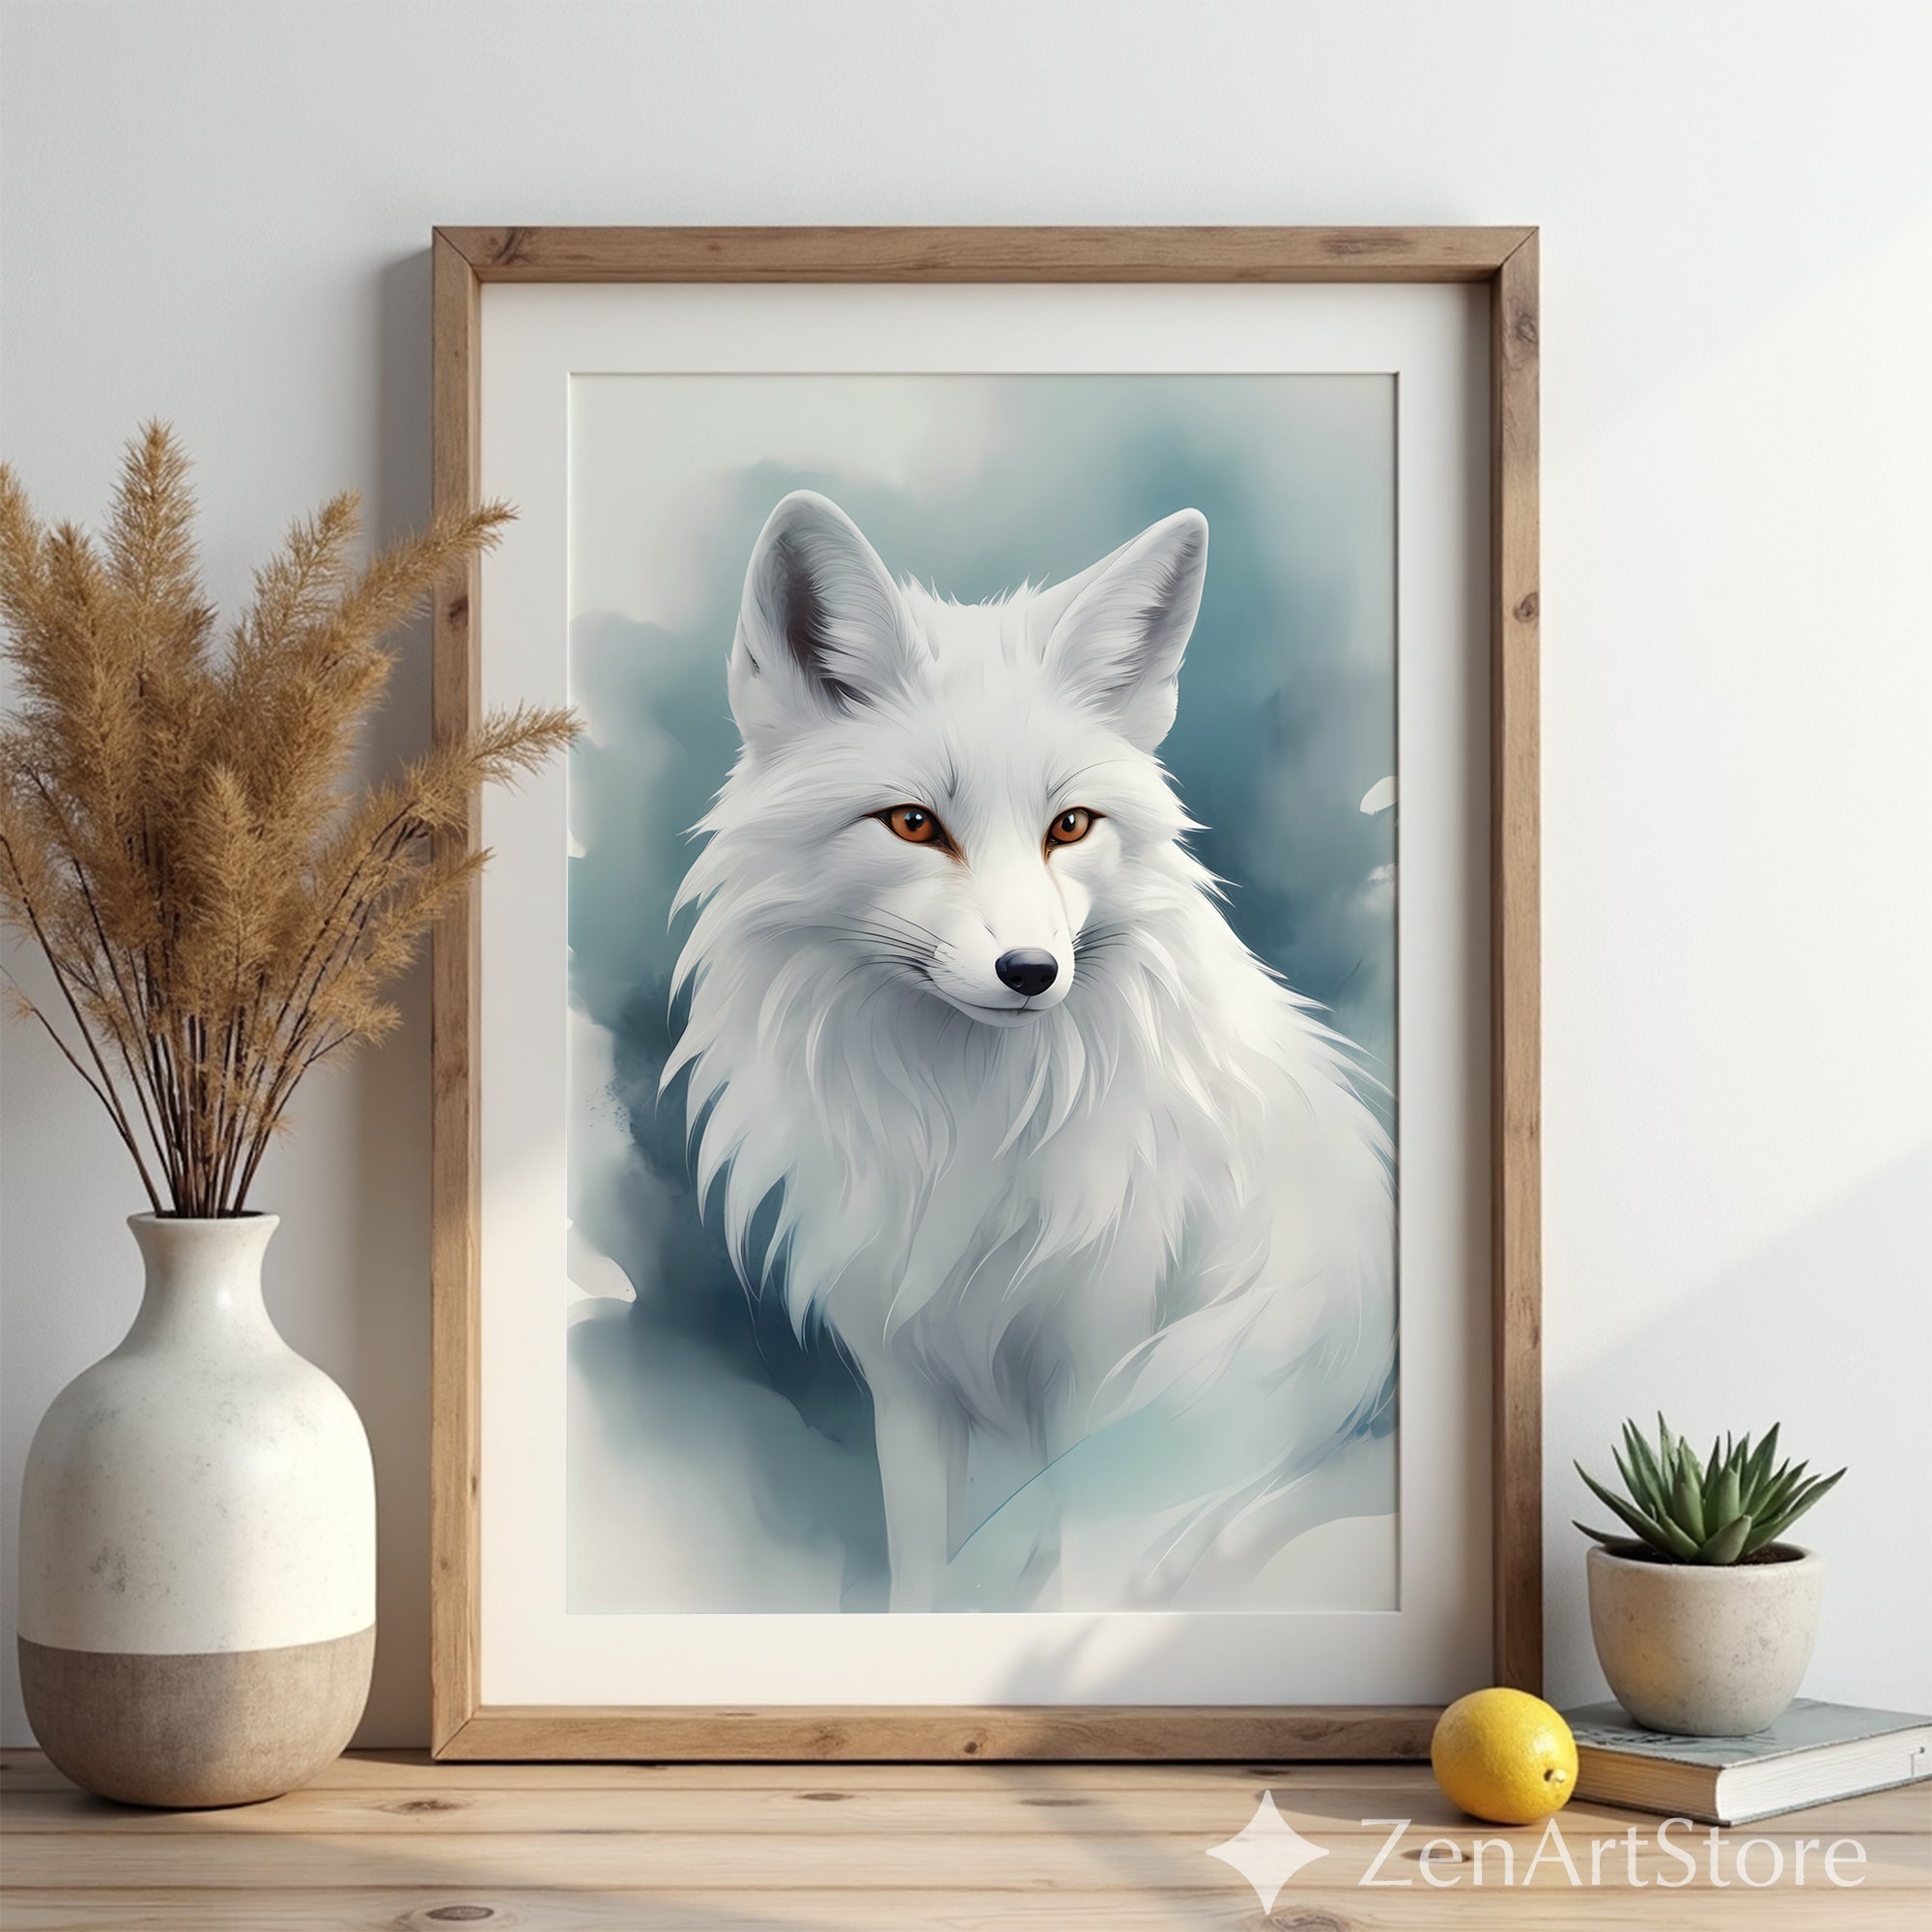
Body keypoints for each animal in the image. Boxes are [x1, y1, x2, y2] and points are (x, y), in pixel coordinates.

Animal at [665, 491, 1395, 1611]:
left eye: (1071, 825)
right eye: (913, 823)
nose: (1031, 971)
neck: (966, 1127)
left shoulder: (1102, 1372)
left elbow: (1078, 1581)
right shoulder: (905, 1379)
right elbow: (921, 1577)